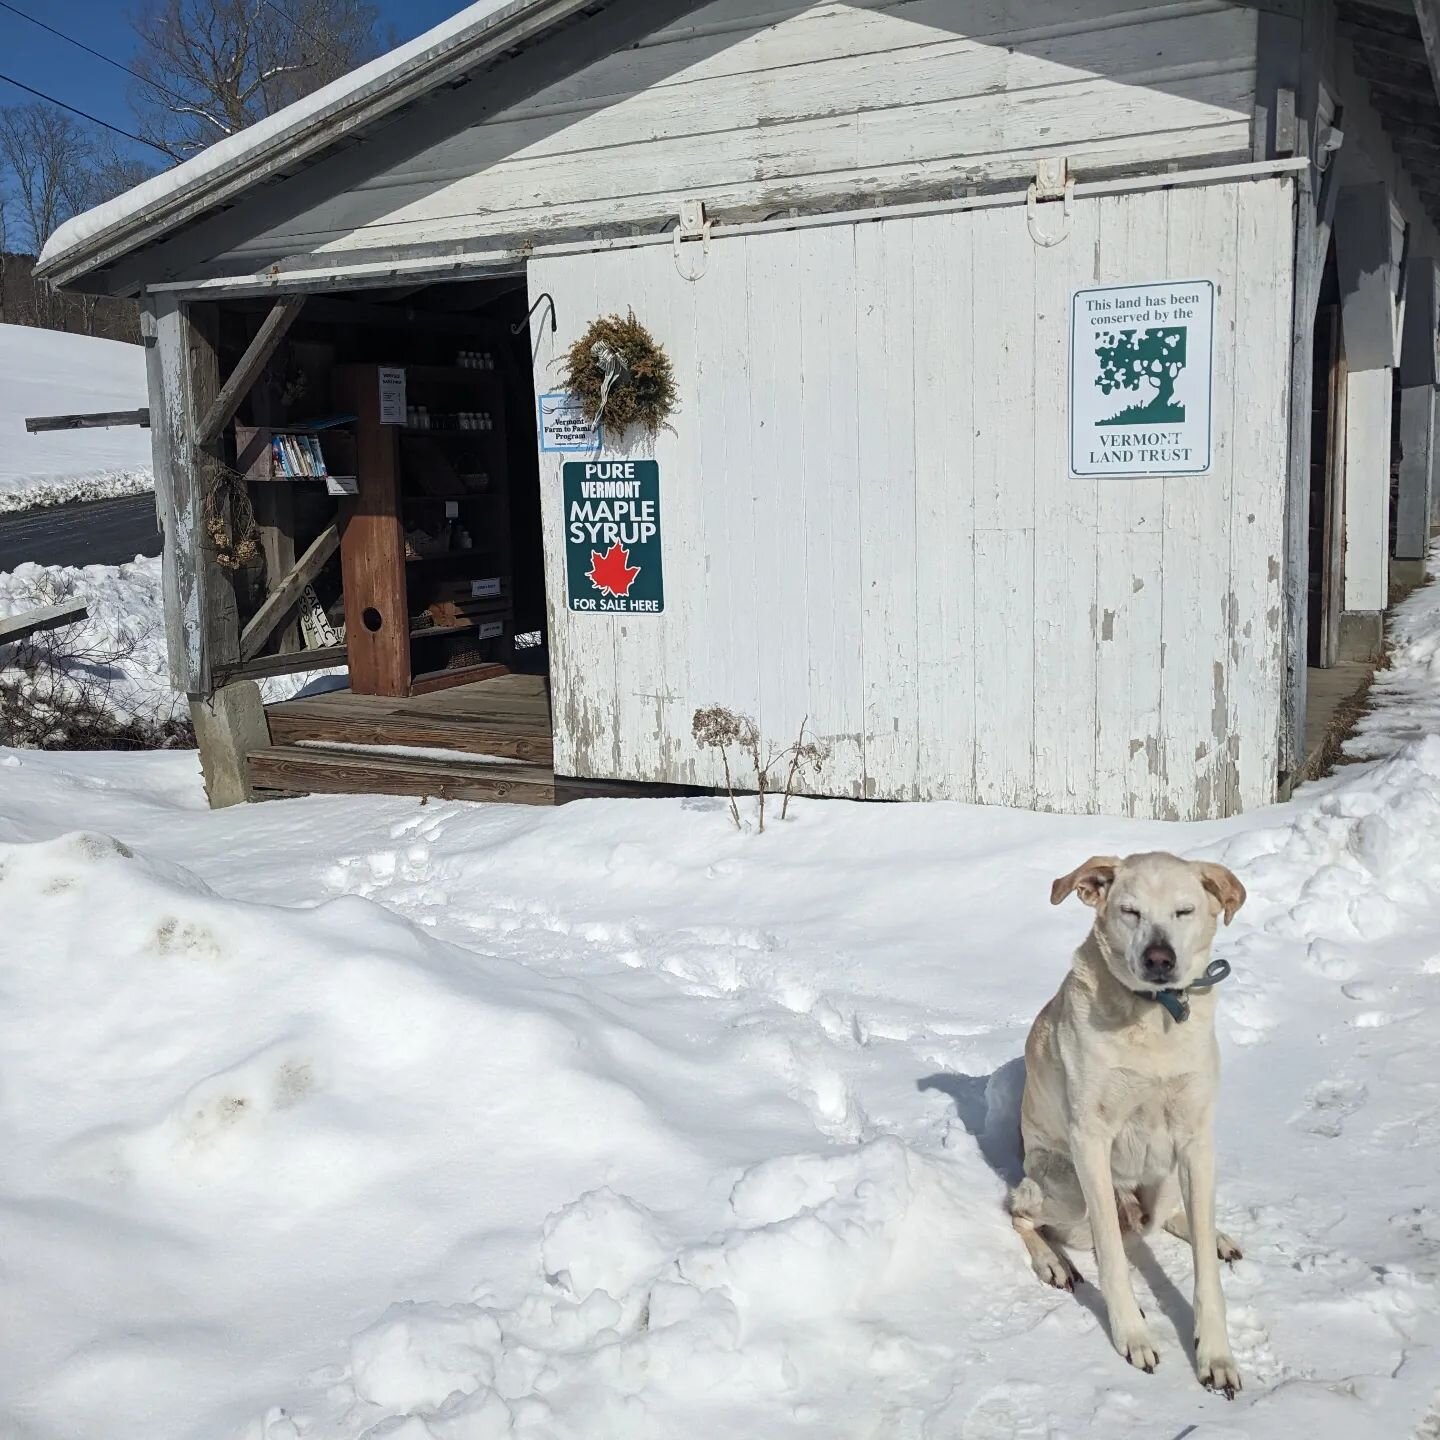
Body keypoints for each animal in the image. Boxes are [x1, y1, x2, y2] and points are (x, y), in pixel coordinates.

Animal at [1013, 852, 1249, 1393]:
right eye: (1130, 911)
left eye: (1184, 911)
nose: (1159, 959)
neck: (1155, 1017)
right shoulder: (1090, 1141)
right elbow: (1113, 1258)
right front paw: (1133, 1335)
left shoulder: (1196, 1138)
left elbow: (1205, 1269)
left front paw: (1216, 1354)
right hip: (1064, 1188)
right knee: (1018, 1210)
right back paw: (1053, 1262)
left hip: (1165, 1178)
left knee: (1169, 1216)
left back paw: (1213, 1235)